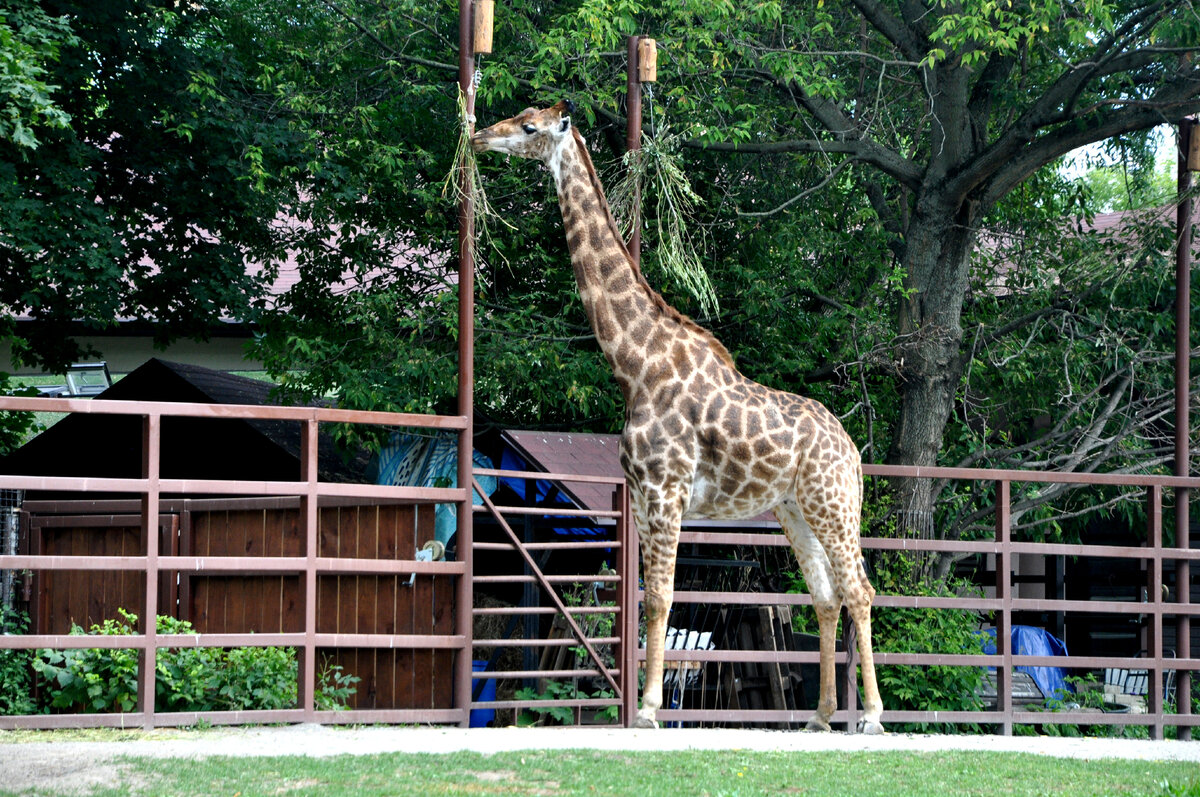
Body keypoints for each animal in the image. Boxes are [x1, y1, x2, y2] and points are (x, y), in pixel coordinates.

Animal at [472, 99, 888, 734]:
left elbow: (664, 599)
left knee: (859, 591)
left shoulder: (667, 491)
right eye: (519, 114)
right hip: (794, 510)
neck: (633, 363)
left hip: (832, 502)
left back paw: (870, 718)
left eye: (528, 127)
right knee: (826, 595)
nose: (476, 136)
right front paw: (642, 707)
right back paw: (819, 718)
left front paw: (646, 711)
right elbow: (647, 601)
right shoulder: (643, 499)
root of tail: (852, 451)